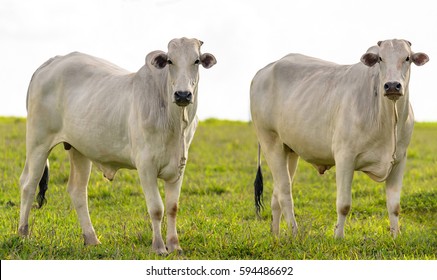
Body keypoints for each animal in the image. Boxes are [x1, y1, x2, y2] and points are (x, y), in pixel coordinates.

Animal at [19, 36, 216, 254]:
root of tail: (52, 62)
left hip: (79, 149)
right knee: (28, 184)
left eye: (196, 61)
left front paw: (174, 246)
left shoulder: (178, 167)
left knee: (77, 191)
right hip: (38, 142)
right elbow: (156, 208)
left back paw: (91, 238)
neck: (174, 122)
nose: (182, 95)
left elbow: (172, 207)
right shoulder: (146, 166)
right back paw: (23, 234)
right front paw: (158, 247)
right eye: (170, 61)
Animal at [250, 39, 428, 238]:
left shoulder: (399, 160)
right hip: (270, 142)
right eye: (380, 58)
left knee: (277, 195)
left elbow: (394, 206)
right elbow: (344, 205)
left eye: (407, 58)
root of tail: (263, 71)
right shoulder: (345, 157)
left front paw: (395, 237)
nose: (392, 86)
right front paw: (338, 237)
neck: (388, 119)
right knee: (285, 193)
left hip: (289, 150)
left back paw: (276, 235)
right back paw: (295, 234)